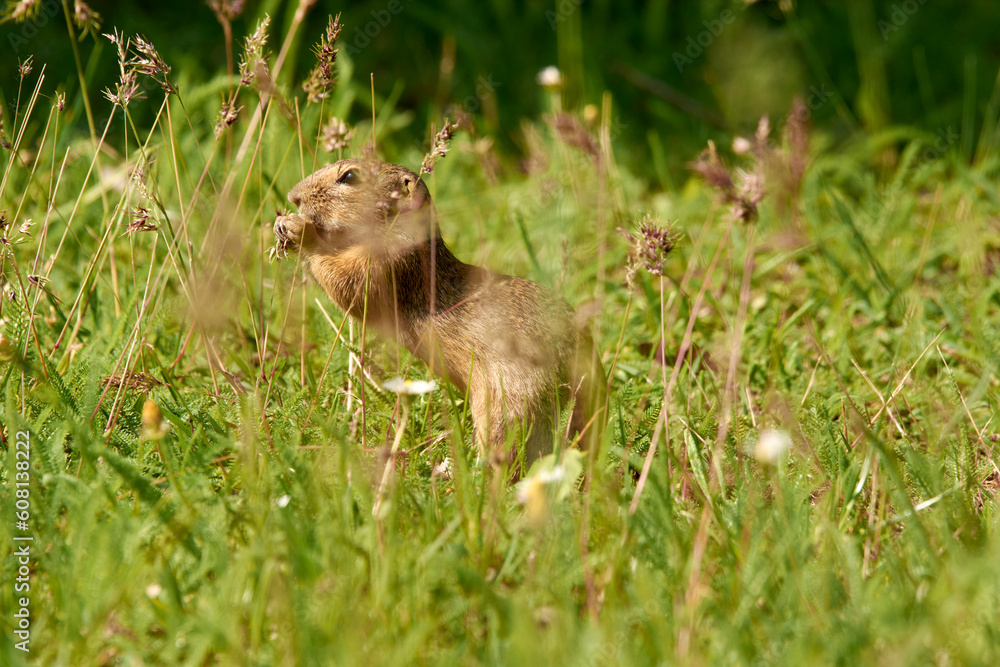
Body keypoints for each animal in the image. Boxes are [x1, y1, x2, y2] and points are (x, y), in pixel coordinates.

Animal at [273, 158, 603, 466]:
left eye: (350, 176)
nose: (293, 196)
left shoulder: (388, 264)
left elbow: (347, 283)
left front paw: (298, 228)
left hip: (508, 405)